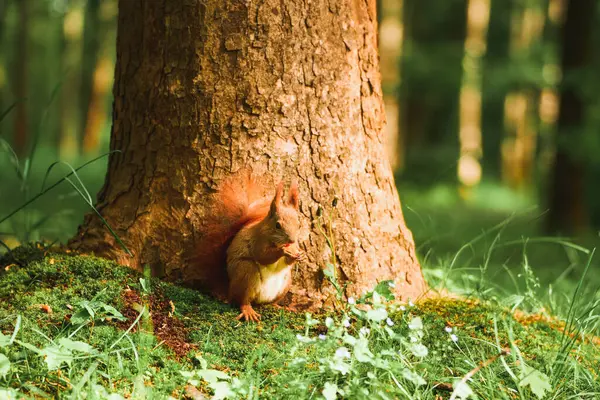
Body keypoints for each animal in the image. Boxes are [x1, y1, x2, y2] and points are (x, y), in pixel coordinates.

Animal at [193, 172, 304, 322]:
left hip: (286, 283)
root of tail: (229, 290)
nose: (292, 240)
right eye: (277, 225)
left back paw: (278, 306)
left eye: (299, 224)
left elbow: (288, 260)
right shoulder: (258, 240)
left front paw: (299, 255)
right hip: (246, 273)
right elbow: (262, 256)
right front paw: (283, 251)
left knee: (269, 302)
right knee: (242, 300)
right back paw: (248, 310)